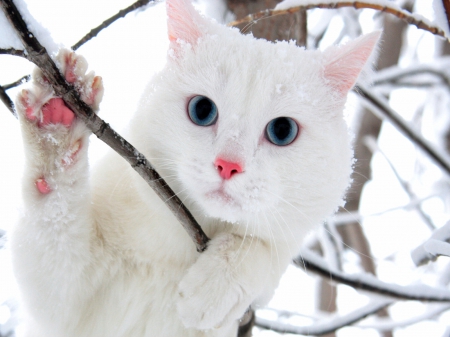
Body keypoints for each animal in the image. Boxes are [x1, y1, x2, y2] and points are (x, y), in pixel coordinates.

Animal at [10, 0, 378, 336]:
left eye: (283, 130)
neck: (172, 263)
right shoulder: (66, 302)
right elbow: (54, 216)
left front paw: (212, 292)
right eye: (202, 110)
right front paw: (54, 123)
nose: (228, 165)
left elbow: (261, 248)